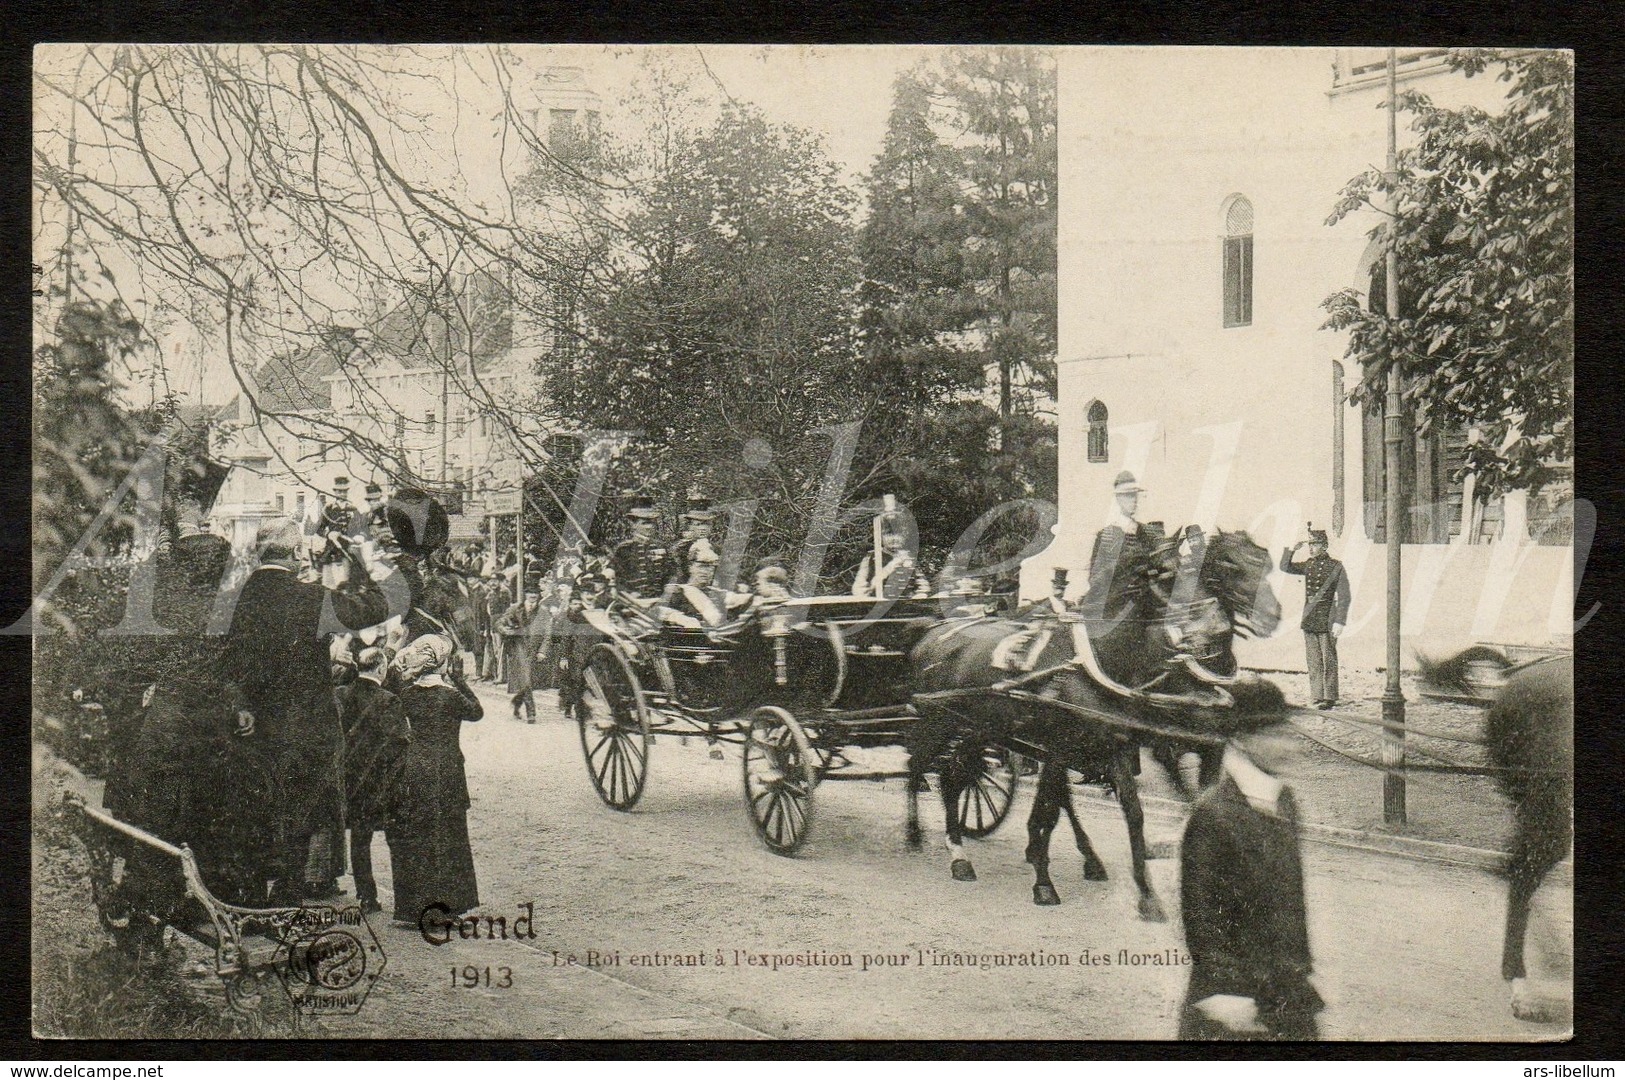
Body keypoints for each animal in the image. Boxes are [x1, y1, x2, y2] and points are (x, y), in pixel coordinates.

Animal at [910, 526, 1287, 915]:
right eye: (1168, 574)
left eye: (1268, 564)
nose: (1214, 626)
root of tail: (935, 633)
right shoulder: (1062, 749)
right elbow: (1049, 810)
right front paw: (1044, 883)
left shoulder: (1121, 744)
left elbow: (1138, 810)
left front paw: (1149, 893)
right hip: (940, 724)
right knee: (920, 767)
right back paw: (927, 840)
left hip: (978, 729)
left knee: (955, 775)